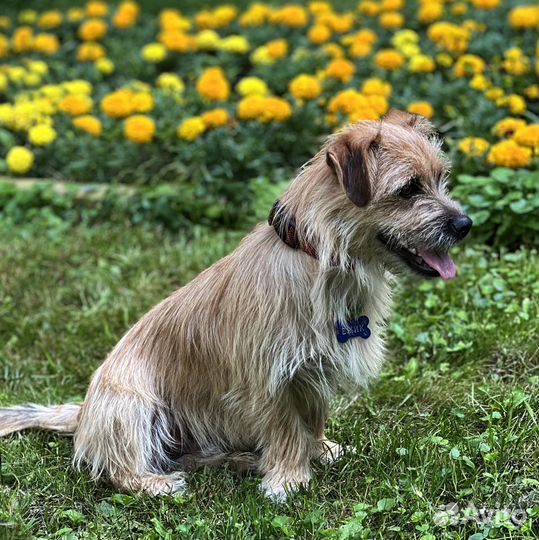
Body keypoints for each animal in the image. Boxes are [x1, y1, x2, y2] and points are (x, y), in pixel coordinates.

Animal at [0, 109, 472, 502]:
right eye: (408, 190)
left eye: (440, 178)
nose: (465, 224)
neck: (316, 257)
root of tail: (83, 415)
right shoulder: (273, 378)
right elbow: (287, 428)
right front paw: (288, 479)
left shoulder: (315, 370)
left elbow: (314, 418)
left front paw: (320, 450)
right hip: (131, 406)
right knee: (118, 468)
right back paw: (156, 482)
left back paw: (241, 459)